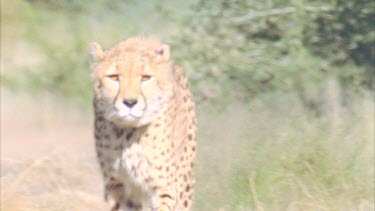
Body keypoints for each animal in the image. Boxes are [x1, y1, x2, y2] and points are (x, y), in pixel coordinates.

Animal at [90, 37, 198, 210]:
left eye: (145, 77)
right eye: (114, 77)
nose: (130, 102)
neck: (127, 133)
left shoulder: (165, 186)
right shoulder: (116, 186)